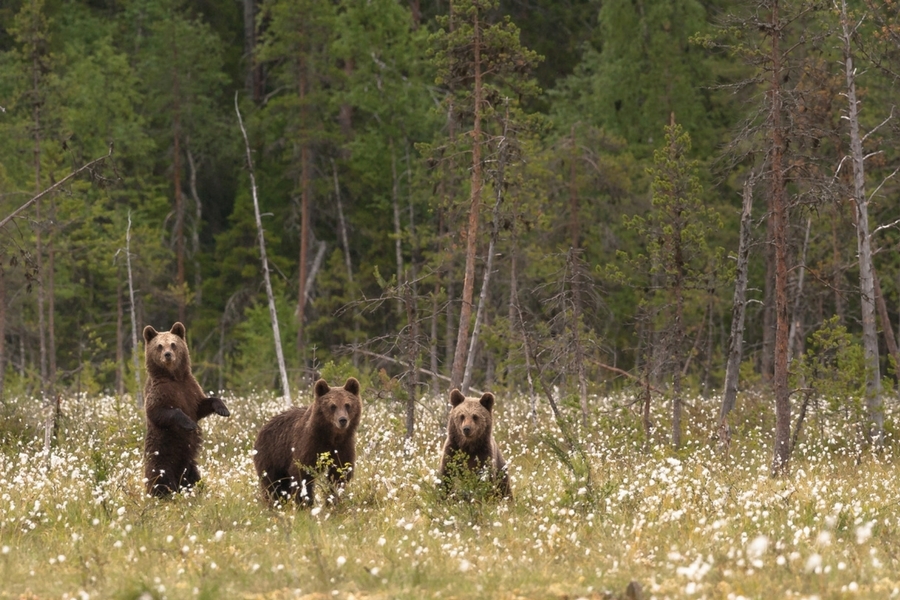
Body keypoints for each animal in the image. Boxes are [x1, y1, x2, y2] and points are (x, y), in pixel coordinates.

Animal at [142, 324, 230, 496]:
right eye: (159, 345)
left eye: (173, 344)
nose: (168, 355)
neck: (173, 377)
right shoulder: (159, 392)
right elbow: (159, 412)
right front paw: (189, 423)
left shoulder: (190, 389)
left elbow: (202, 405)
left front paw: (223, 409)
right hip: (160, 457)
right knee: (160, 480)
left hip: (189, 465)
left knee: (193, 479)